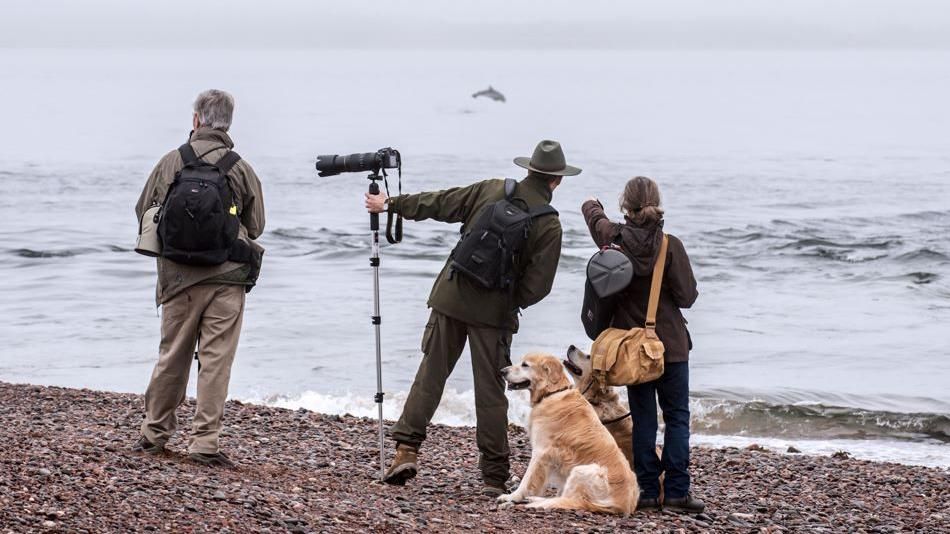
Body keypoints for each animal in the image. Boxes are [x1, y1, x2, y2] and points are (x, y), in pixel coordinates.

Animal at [498, 354, 640, 516]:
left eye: (525, 365)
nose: (502, 371)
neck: (552, 393)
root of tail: (624, 505)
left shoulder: (541, 451)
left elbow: (527, 479)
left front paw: (513, 496)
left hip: (582, 470)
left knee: (569, 499)